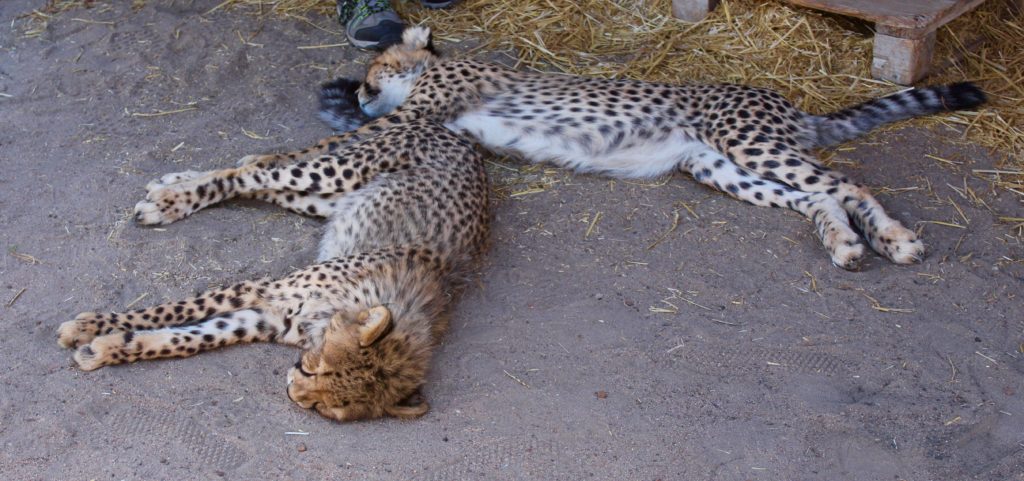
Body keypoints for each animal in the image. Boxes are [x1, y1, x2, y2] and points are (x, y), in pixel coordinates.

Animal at [57, 81, 491, 421]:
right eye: (317, 369)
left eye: (323, 407)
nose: (293, 391)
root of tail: (460, 140)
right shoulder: (264, 290)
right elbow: (174, 311)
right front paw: (89, 326)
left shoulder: (264, 318)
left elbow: (188, 338)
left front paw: (107, 348)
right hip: (337, 173)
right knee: (252, 174)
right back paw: (169, 197)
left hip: (323, 200)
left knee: (260, 178)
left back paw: (174, 185)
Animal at [243, 27, 987, 270]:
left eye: (373, 70)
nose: (362, 88)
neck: (431, 71)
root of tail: (789, 104)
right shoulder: (427, 124)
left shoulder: (415, 117)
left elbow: (332, 141)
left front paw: (259, 162)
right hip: (718, 166)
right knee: (814, 197)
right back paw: (844, 243)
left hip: (746, 143)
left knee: (847, 183)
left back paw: (895, 238)